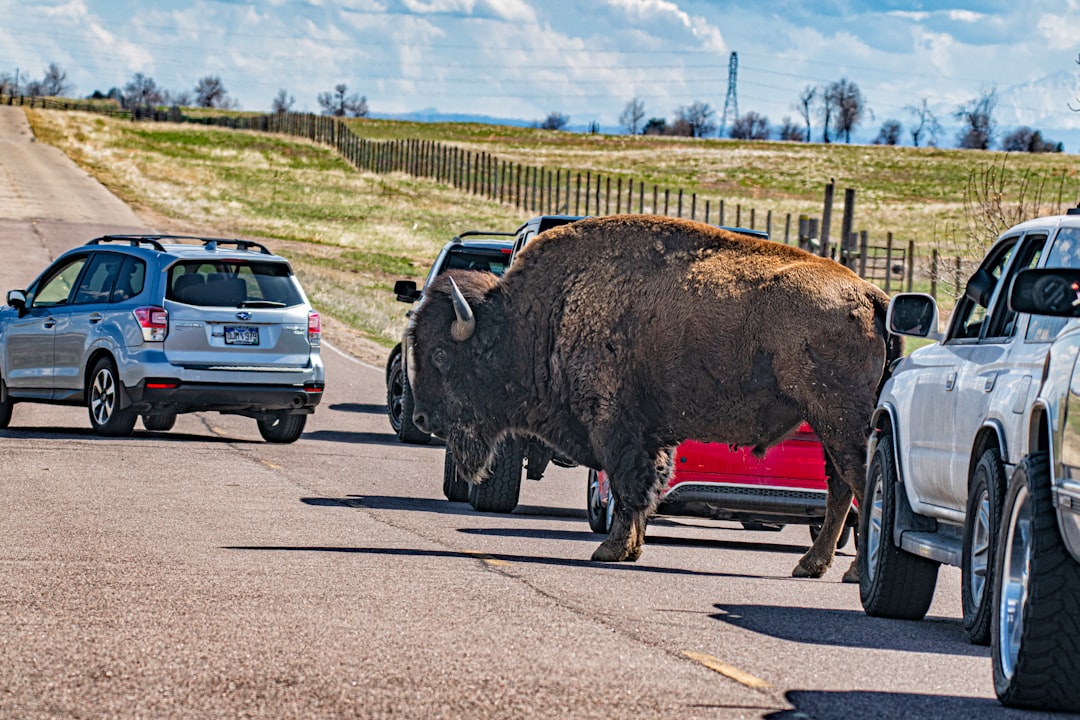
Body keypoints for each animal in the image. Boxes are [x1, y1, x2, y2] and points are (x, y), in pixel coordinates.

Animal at [408, 213, 898, 578]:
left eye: (440, 353)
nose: (422, 419)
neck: (545, 314)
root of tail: (870, 293)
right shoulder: (651, 433)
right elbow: (650, 485)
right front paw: (633, 548)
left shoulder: (612, 424)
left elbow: (629, 485)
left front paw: (609, 550)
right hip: (828, 421)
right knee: (840, 489)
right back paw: (811, 565)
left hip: (837, 418)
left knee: (856, 483)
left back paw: (847, 571)